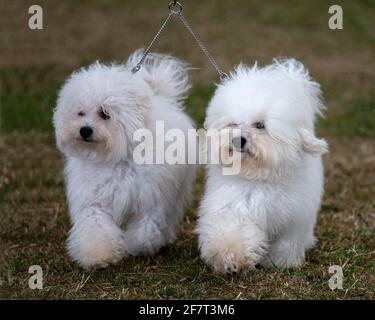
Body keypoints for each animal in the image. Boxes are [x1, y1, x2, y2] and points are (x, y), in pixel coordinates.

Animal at [53, 50, 197, 270]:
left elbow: (145, 228)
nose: (84, 130)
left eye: (105, 114)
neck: (117, 158)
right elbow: (95, 227)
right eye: (80, 113)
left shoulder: (149, 199)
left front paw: (136, 246)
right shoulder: (94, 200)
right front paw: (98, 256)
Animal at [197, 58, 328, 274]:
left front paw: (280, 262)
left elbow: (286, 242)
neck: (258, 177)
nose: (238, 140)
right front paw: (230, 257)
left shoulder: (293, 217)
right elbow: (232, 230)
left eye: (260, 125)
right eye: (232, 124)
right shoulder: (235, 206)